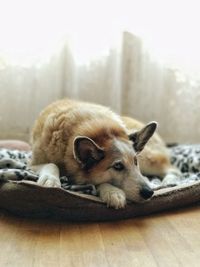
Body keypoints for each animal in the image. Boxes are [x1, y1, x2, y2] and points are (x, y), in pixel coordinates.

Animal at [30, 98, 180, 209]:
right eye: (118, 166)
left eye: (135, 162)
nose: (149, 193)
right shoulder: (32, 164)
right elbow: (51, 165)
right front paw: (50, 180)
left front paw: (112, 192)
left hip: (148, 161)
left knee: (173, 169)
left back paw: (166, 181)